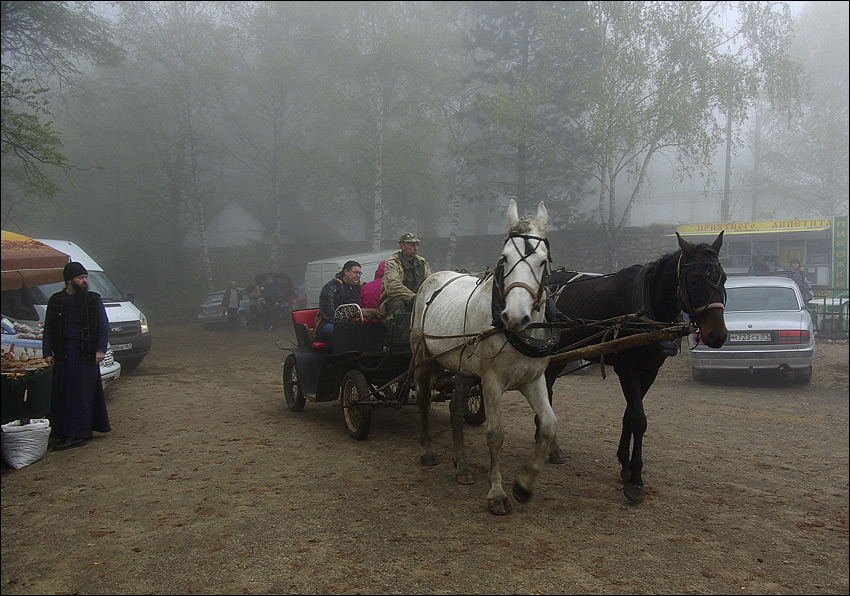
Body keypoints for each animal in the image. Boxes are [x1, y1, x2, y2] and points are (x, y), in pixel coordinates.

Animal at [410, 201, 556, 516]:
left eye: (542, 261)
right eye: (505, 258)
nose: (515, 316)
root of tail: (434, 276)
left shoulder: (533, 379)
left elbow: (549, 425)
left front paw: (523, 485)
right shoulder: (492, 381)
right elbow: (495, 434)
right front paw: (497, 493)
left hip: (463, 368)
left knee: (455, 409)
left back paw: (462, 467)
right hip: (423, 356)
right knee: (424, 399)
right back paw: (428, 450)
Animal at [540, 230, 724, 500]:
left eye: (724, 278)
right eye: (693, 280)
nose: (717, 335)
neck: (646, 304)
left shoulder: (650, 371)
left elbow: (629, 415)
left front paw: (625, 465)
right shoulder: (626, 369)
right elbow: (638, 419)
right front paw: (636, 478)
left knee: (548, 389)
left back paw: (549, 442)